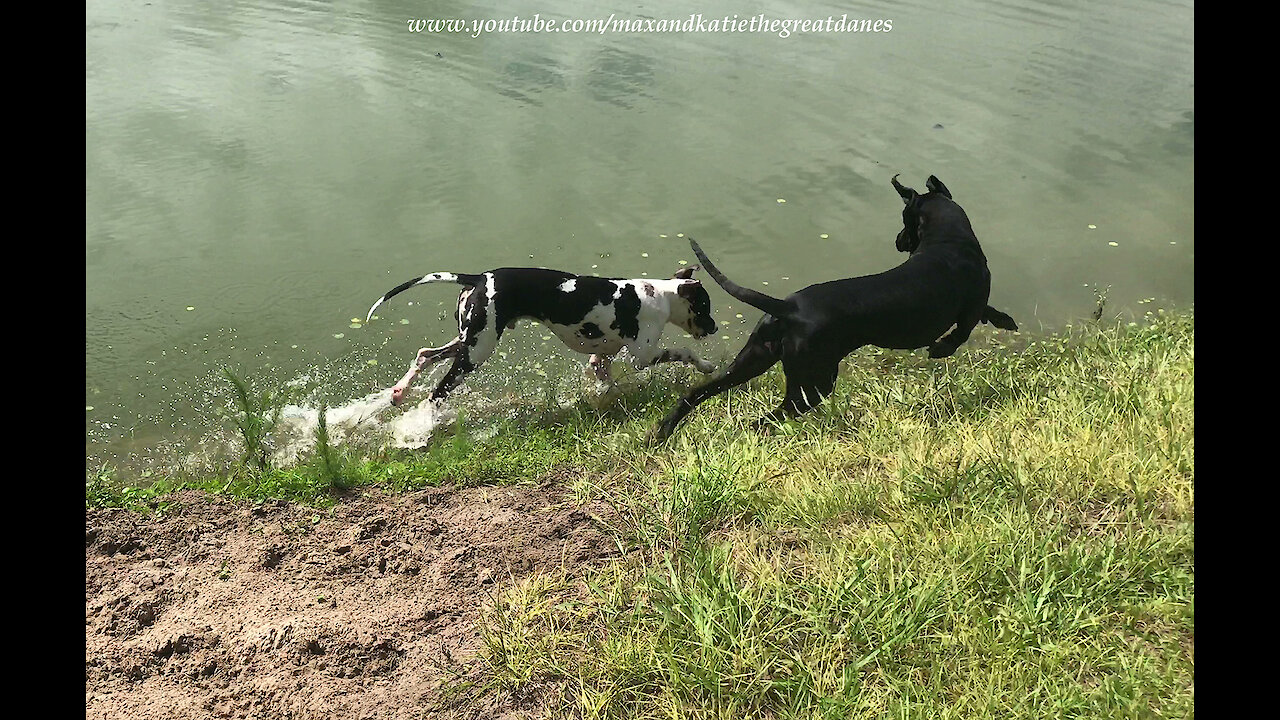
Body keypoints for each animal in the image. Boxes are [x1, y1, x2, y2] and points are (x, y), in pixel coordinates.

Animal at [366, 265, 721, 404]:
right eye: (705, 306)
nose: (715, 327)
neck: (659, 296)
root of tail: (478, 277)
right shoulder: (643, 357)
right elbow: (685, 353)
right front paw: (706, 366)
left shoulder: (602, 354)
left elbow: (604, 376)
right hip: (476, 353)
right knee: (437, 392)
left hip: (469, 340)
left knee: (425, 355)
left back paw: (399, 392)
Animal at [655, 176, 1013, 440]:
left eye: (904, 222)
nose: (899, 241)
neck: (949, 239)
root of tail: (787, 306)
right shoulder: (969, 310)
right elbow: (962, 332)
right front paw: (941, 348)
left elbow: (988, 312)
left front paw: (1004, 320)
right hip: (814, 382)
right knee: (772, 415)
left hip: (754, 361)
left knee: (700, 392)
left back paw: (662, 432)